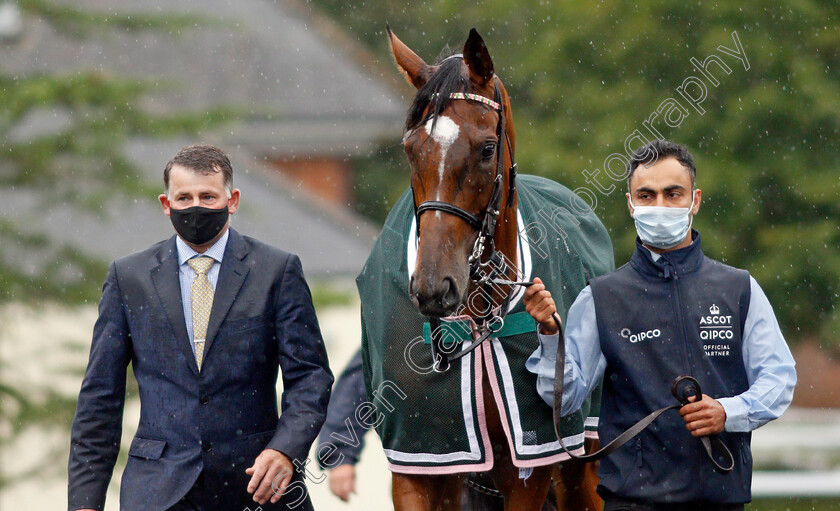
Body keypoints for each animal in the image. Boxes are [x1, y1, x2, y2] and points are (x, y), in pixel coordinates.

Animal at [384, 28, 608, 511]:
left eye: (487, 148)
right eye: (410, 149)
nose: (433, 287)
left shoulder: (528, 471)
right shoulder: (421, 463)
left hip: (582, 464)